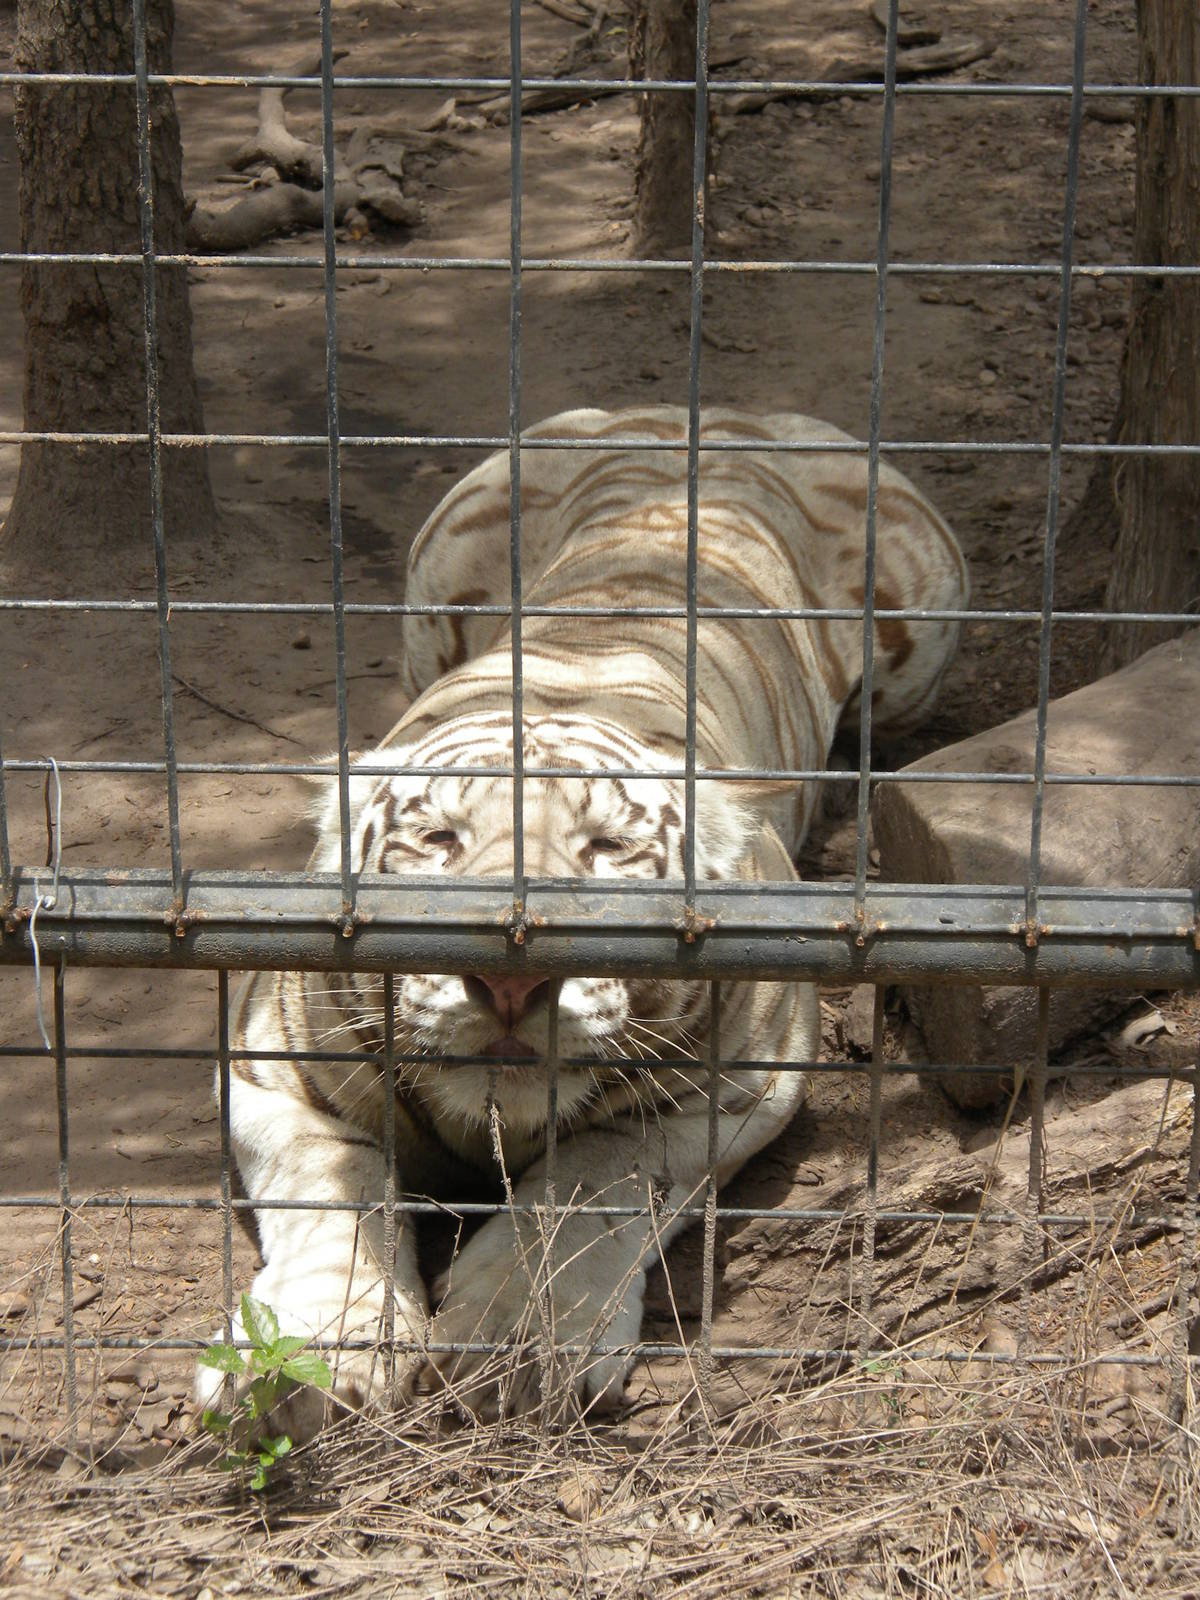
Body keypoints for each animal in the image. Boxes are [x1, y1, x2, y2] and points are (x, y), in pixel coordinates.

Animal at [196, 406, 968, 1439]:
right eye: (436, 840)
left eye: (605, 848)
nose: (511, 979)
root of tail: (716, 410)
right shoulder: (275, 1072)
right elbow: (332, 1193)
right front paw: (308, 1359)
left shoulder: (741, 1084)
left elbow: (593, 1182)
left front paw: (514, 1341)